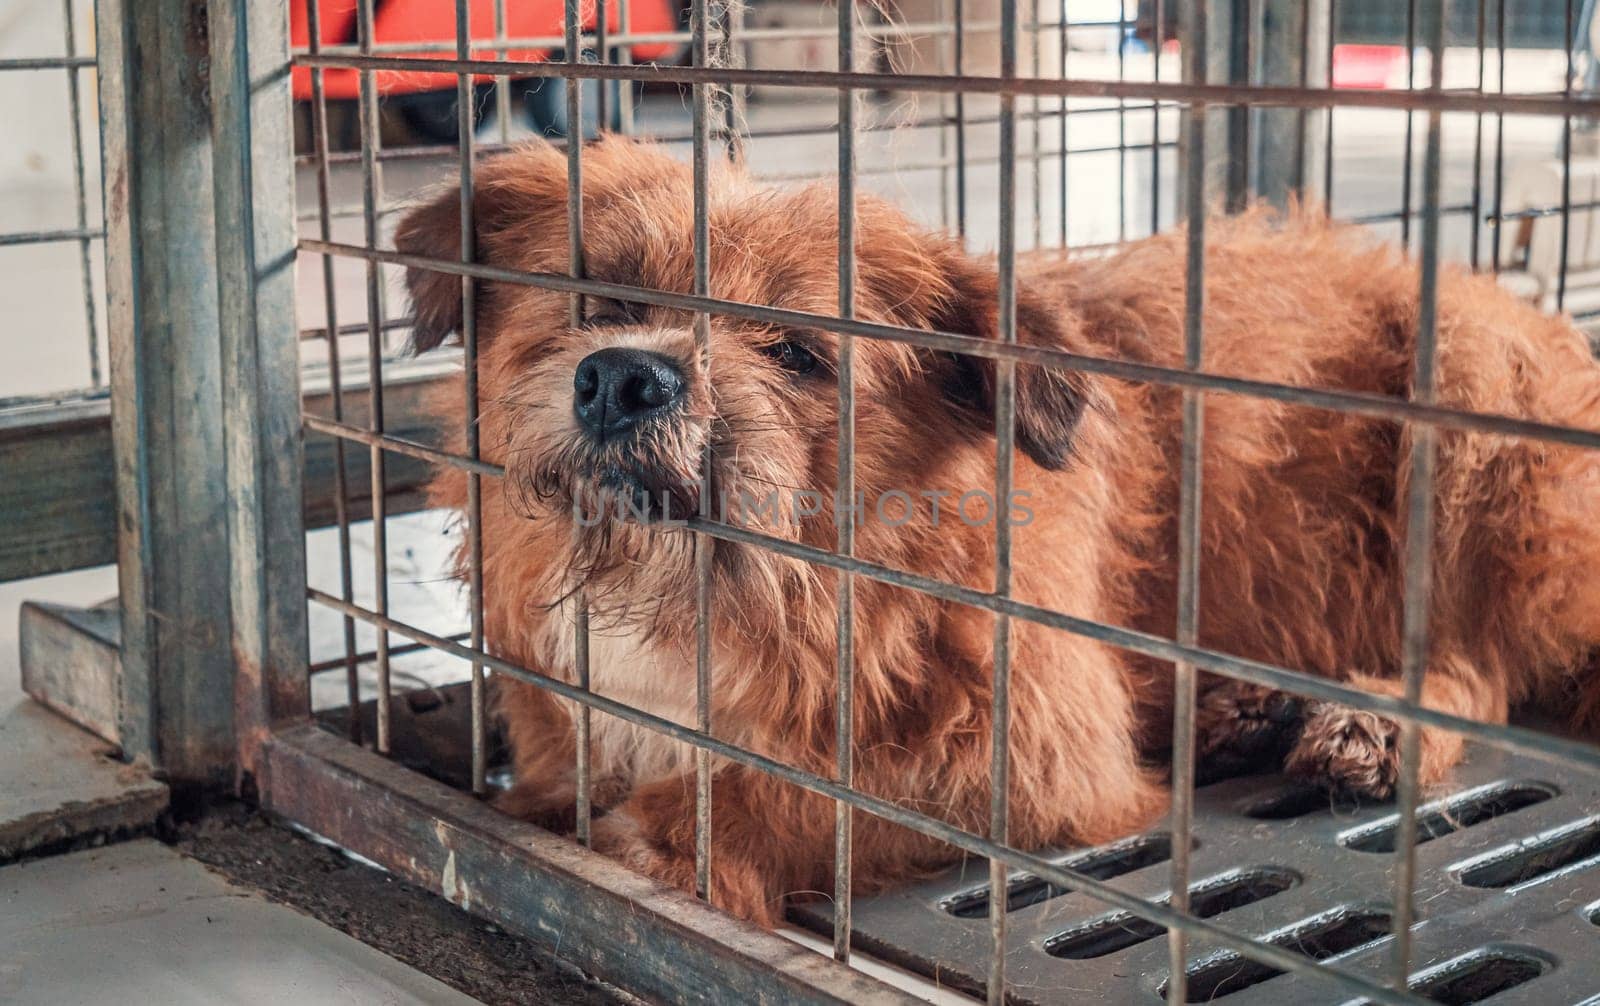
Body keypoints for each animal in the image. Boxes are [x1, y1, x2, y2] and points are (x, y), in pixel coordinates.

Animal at [393, 135, 1600, 927]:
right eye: (596, 297)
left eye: (797, 350)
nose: (622, 379)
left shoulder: (1030, 760)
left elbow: (794, 794)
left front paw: (670, 831)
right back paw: (1234, 707)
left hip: (1470, 402)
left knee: (1475, 664)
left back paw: (1373, 725)